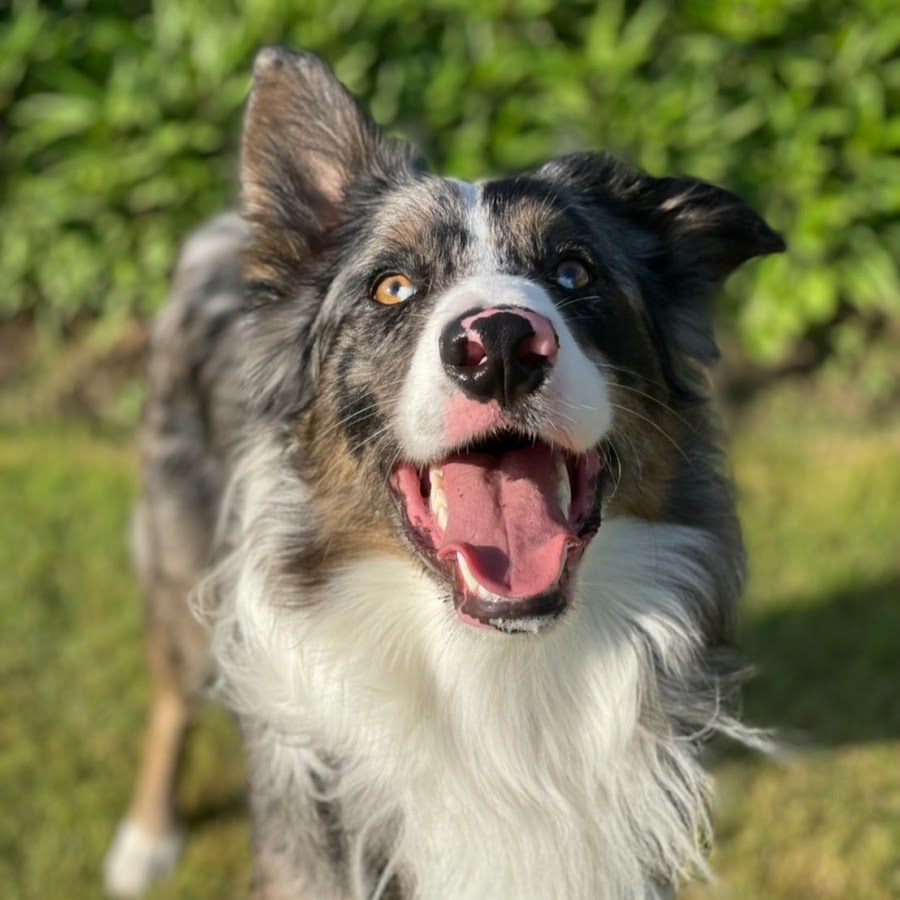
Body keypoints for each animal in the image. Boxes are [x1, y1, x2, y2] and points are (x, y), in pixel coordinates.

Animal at [103, 47, 780, 900]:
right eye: (393, 286)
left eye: (574, 272)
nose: (499, 344)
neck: (494, 681)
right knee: (171, 695)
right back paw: (145, 839)